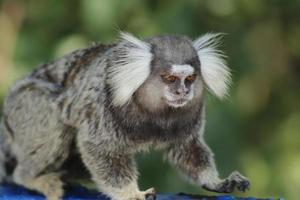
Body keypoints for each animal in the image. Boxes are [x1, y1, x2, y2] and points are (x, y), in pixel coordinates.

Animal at [0, 32, 250, 199]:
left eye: (190, 79)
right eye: (170, 78)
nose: (182, 92)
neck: (157, 112)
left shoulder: (190, 114)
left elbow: (188, 149)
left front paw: (215, 181)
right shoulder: (103, 106)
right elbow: (98, 148)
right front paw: (130, 193)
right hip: (23, 104)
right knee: (54, 117)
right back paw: (31, 177)